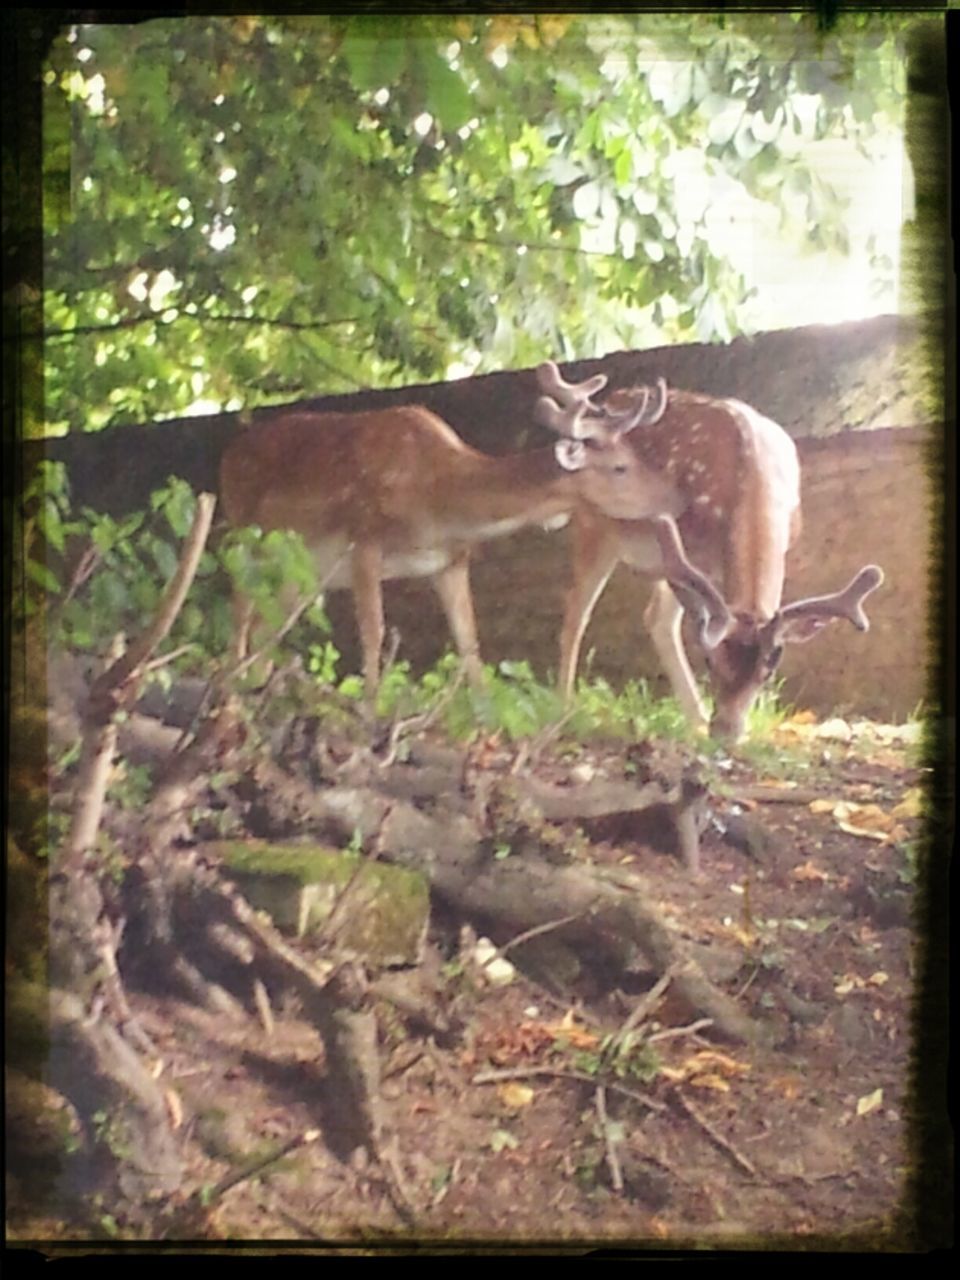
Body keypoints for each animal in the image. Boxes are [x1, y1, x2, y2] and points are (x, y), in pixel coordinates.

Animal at [217, 360, 686, 706]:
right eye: (620, 467)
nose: (675, 498)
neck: (439, 499)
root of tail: (229, 452)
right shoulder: (364, 537)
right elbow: (375, 631)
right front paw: (371, 702)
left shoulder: (451, 561)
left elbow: (470, 643)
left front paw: (483, 711)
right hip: (243, 529)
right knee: (240, 609)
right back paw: (231, 680)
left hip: (304, 571)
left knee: (268, 623)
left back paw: (258, 682)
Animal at [542, 371, 885, 742]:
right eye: (710, 661)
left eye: (768, 669)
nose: (726, 731)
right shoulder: (689, 551)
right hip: (594, 523)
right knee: (578, 612)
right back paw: (563, 707)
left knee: (654, 618)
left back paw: (694, 719)